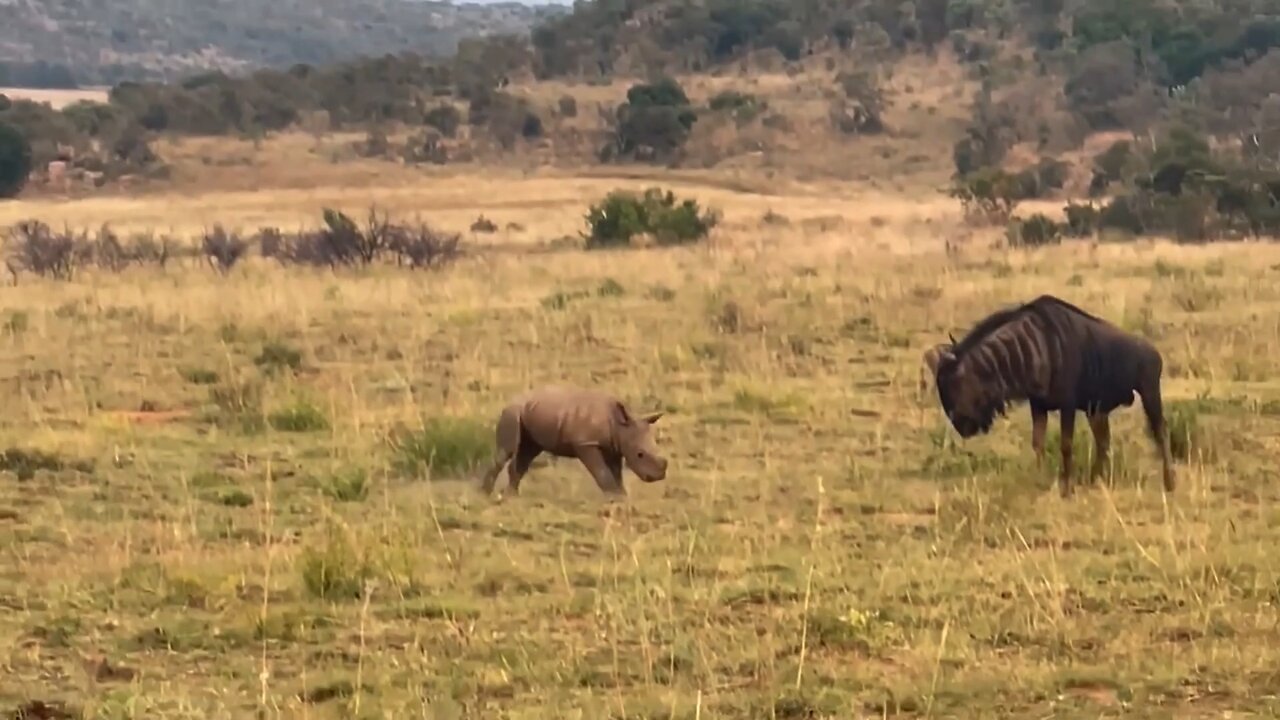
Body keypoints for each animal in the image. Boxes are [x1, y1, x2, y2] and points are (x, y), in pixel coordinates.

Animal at [476, 384, 665, 497]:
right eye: (640, 454)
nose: (658, 477)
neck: (620, 425)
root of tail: (509, 402)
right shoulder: (586, 443)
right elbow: (601, 471)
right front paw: (612, 496)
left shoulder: (613, 447)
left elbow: (616, 472)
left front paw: (620, 496)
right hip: (512, 413)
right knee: (507, 451)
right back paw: (485, 494)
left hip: (531, 413)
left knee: (527, 452)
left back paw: (511, 495)